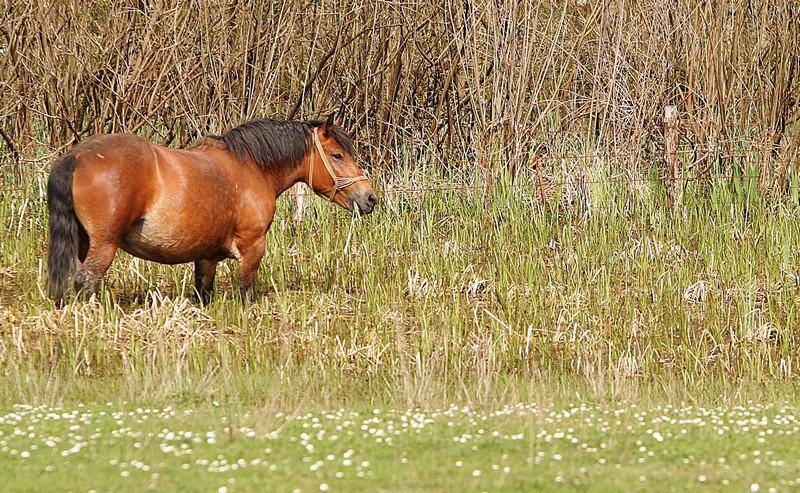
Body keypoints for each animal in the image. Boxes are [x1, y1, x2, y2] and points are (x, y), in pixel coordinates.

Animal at [47, 112, 378, 304]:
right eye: (337, 155)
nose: (370, 198)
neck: (251, 168)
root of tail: (77, 156)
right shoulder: (252, 248)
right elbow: (246, 292)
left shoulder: (206, 257)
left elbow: (203, 292)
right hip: (104, 245)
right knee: (86, 282)